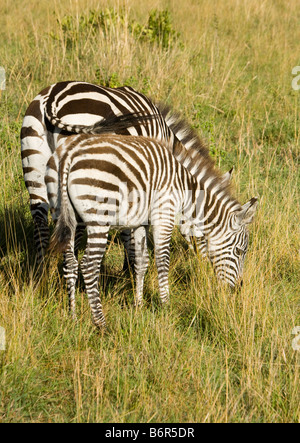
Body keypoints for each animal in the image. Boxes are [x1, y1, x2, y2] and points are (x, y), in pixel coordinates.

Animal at [21, 80, 232, 270]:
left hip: (36, 168)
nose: (203, 268)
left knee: (40, 222)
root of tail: (52, 98)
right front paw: (129, 269)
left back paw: (41, 278)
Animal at [47, 134, 258, 328]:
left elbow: (141, 262)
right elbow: (162, 261)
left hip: (66, 215)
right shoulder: (164, 215)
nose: (237, 289)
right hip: (99, 217)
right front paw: (166, 305)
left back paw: (73, 315)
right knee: (89, 265)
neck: (185, 187)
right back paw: (101, 323)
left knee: (70, 263)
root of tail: (69, 155)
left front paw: (139, 305)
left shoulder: (142, 223)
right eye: (240, 251)